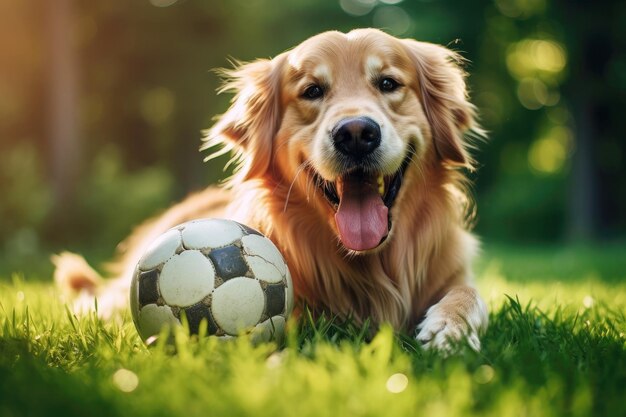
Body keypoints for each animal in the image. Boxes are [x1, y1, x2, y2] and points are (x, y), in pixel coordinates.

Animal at [53, 27, 488, 350]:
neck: (370, 266)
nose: (356, 134)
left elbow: (471, 295)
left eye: (388, 83)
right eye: (312, 90)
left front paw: (450, 327)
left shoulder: (454, 273)